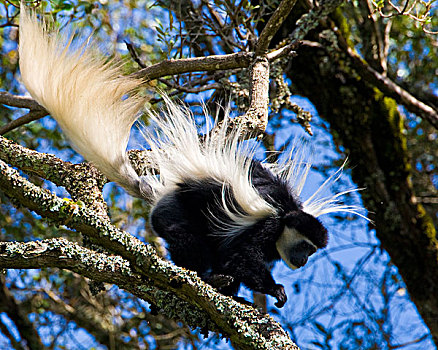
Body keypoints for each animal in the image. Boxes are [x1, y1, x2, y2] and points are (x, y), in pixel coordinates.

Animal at [18, 4, 362, 306]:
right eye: (305, 246)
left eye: (312, 252)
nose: (303, 260)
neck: (286, 215)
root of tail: (161, 192)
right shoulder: (264, 225)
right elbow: (241, 257)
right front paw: (274, 289)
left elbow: (233, 258)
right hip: (173, 212)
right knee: (187, 239)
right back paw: (207, 278)